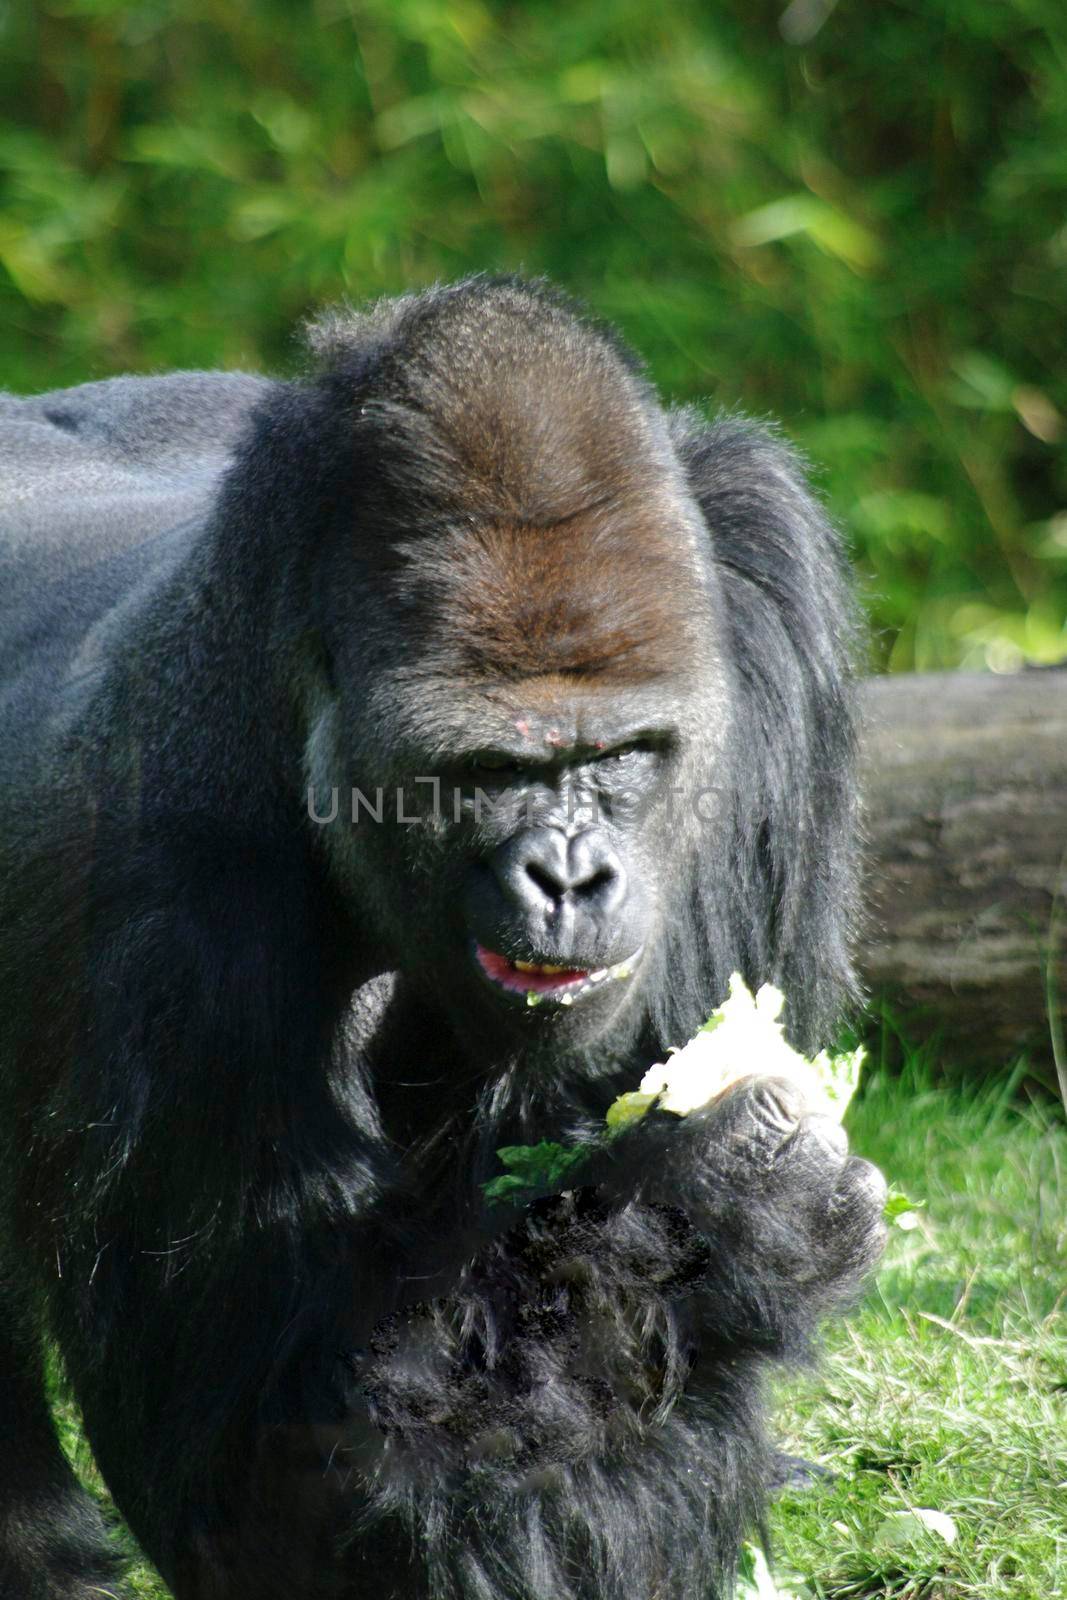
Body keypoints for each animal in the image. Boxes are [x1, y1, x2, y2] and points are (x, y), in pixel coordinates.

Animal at [0, 281, 883, 1593]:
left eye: (621, 752)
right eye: (487, 769)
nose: (567, 875)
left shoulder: (766, 602)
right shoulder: (161, 872)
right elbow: (286, 1470)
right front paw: (734, 1198)